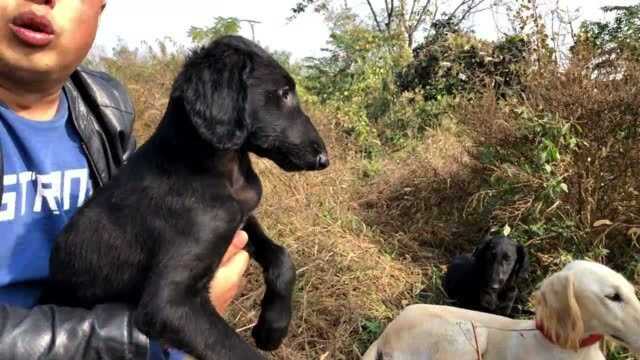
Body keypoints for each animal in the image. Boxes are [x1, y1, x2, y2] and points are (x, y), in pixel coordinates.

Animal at [39, 35, 328, 360]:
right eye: (284, 94)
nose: (324, 159)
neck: (212, 168)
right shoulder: (167, 305)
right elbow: (238, 351)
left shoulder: (240, 218)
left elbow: (282, 257)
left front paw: (272, 328)